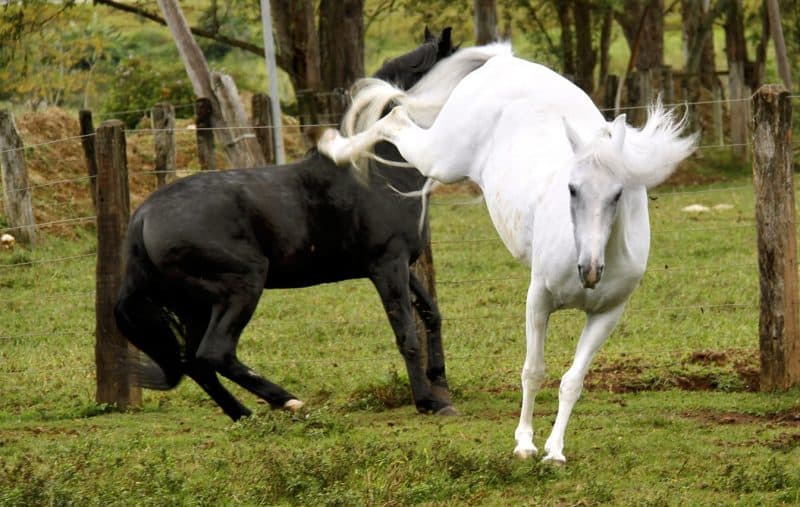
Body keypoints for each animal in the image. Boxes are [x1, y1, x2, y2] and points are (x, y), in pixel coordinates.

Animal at [114, 27, 458, 421]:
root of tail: (143, 218)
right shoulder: (387, 264)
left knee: (197, 362)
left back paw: (244, 415)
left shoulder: (400, 263)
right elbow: (407, 335)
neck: (377, 168)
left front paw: (439, 381)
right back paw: (287, 401)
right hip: (242, 285)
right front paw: (428, 401)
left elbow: (431, 314)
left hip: (194, 305)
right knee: (214, 352)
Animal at [317, 42, 697, 464]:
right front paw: (525, 444)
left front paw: (555, 451)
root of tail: (502, 61)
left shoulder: (606, 316)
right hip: (441, 158)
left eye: (617, 194)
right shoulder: (539, 299)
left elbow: (572, 381)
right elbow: (533, 371)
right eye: (571, 189)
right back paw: (333, 146)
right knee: (396, 117)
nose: (589, 270)